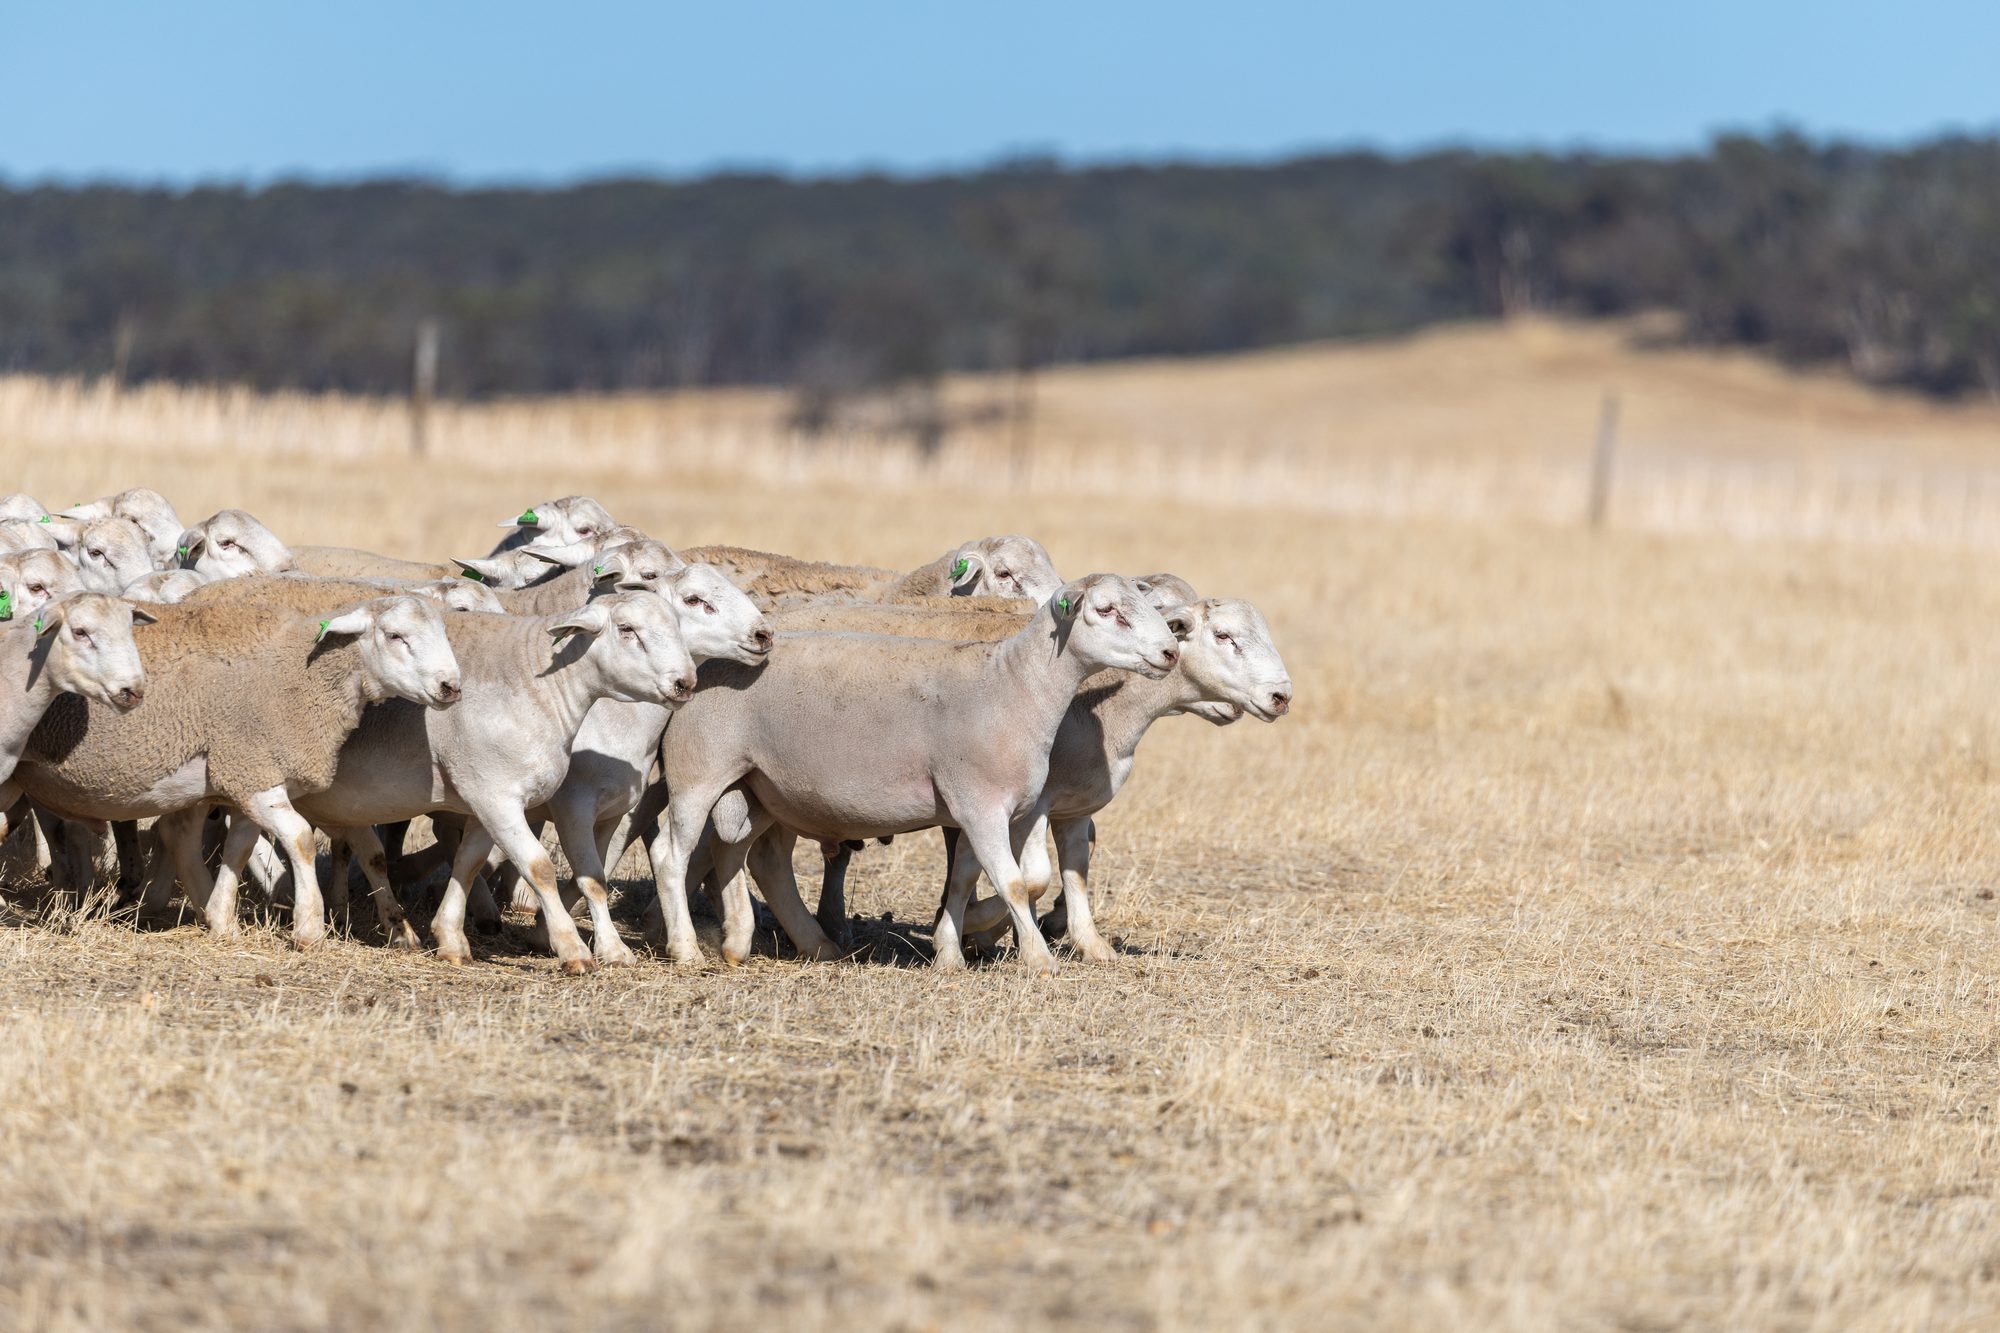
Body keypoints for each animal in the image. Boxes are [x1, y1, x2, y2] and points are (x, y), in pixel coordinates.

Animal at [14, 596, 462, 948]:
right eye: (395, 636)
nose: (451, 687)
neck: (302, 674)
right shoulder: (252, 768)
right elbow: (300, 839)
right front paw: (309, 928)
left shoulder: (250, 777)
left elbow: (240, 848)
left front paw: (222, 919)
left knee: (178, 836)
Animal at [646, 573, 1181, 974]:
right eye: (1108, 610)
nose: (1171, 653)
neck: (1013, 686)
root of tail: (702, 666)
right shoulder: (980, 803)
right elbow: (1011, 883)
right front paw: (1037, 959)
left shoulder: (1001, 808)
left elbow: (988, 879)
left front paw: (952, 950)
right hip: (699, 773)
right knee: (672, 855)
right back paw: (688, 950)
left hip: (759, 787)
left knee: (743, 854)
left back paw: (760, 943)